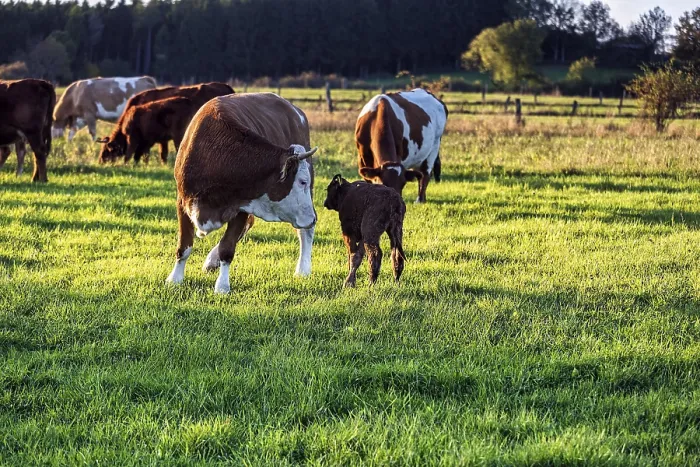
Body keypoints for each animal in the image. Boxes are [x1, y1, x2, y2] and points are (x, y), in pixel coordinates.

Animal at [165, 93, 318, 294]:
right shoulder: (183, 201)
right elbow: (184, 245)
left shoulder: (241, 206)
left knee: (305, 232)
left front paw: (222, 286)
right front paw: (175, 278)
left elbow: (227, 247)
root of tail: (295, 110)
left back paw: (303, 269)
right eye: (302, 181)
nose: (313, 218)